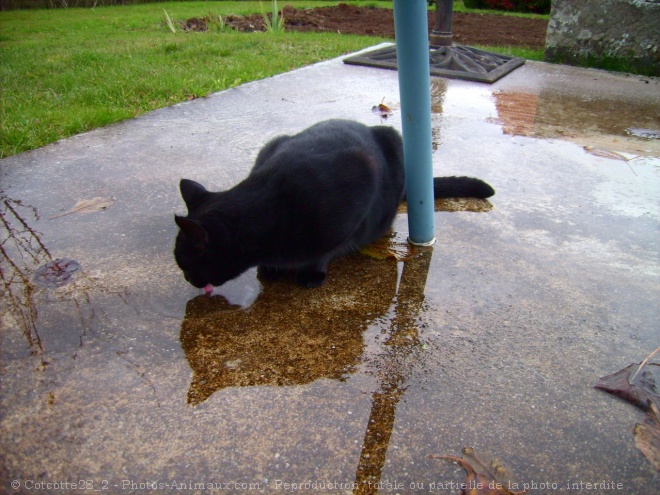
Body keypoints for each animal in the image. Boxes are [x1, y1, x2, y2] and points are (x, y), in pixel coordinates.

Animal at [173, 120, 492, 290]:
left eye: (186, 265)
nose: (188, 280)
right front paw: (271, 268)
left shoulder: (359, 182)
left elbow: (324, 252)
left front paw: (309, 273)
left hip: (395, 140)